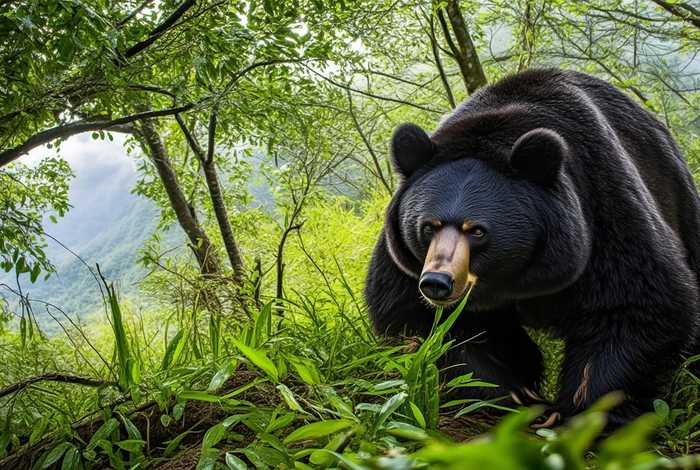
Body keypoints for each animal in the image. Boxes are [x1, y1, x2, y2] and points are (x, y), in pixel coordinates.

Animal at [364, 68, 700, 428]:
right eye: (428, 226)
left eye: (477, 230)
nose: (437, 283)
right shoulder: (406, 263)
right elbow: (422, 319)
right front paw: (515, 394)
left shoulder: (602, 206)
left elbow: (637, 303)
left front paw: (578, 410)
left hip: (679, 200)